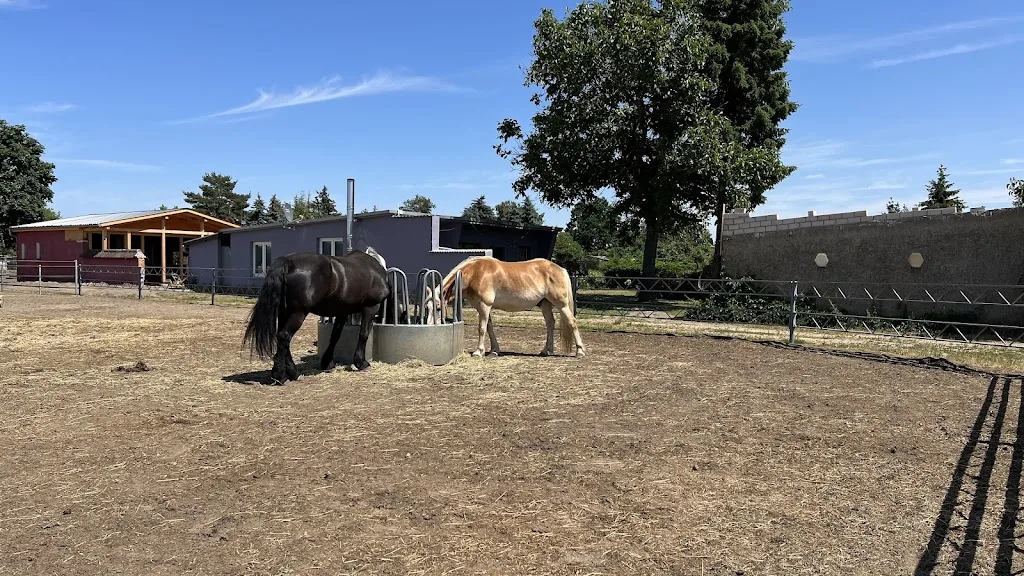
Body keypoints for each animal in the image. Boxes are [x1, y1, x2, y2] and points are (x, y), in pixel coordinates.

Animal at [242, 246, 390, 384]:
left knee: (282, 338)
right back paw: (281, 376)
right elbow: (363, 334)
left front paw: (328, 363)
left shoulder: (342, 311)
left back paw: (290, 373)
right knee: (284, 336)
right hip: (298, 313)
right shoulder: (371, 307)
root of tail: (288, 261)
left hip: (285, 312)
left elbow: (335, 336)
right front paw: (362, 363)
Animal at [434, 256, 585, 357]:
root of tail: (560, 269)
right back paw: (546, 351)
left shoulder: (484, 306)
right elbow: (489, 328)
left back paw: (580, 351)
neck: (476, 273)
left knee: (572, 322)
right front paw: (494, 350)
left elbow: (482, 329)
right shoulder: (483, 308)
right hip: (545, 304)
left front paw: (478, 352)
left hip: (561, 304)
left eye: (438, 308)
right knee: (550, 324)